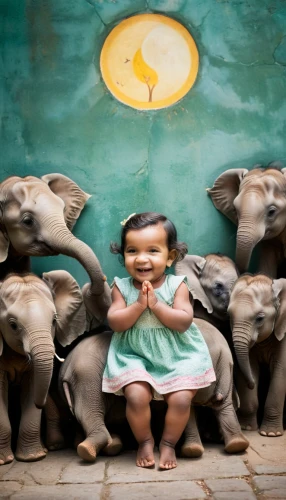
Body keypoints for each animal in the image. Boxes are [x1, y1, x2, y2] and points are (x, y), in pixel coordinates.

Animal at [0, 270, 92, 464]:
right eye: (13, 325)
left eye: (54, 321)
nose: (40, 403)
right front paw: (5, 461)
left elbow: (33, 383)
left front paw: (33, 457)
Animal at [228, 276, 286, 436]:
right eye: (229, 316)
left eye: (260, 319)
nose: (252, 384)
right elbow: (251, 366)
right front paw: (246, 428)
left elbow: (280, 372)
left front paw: (270, 434)